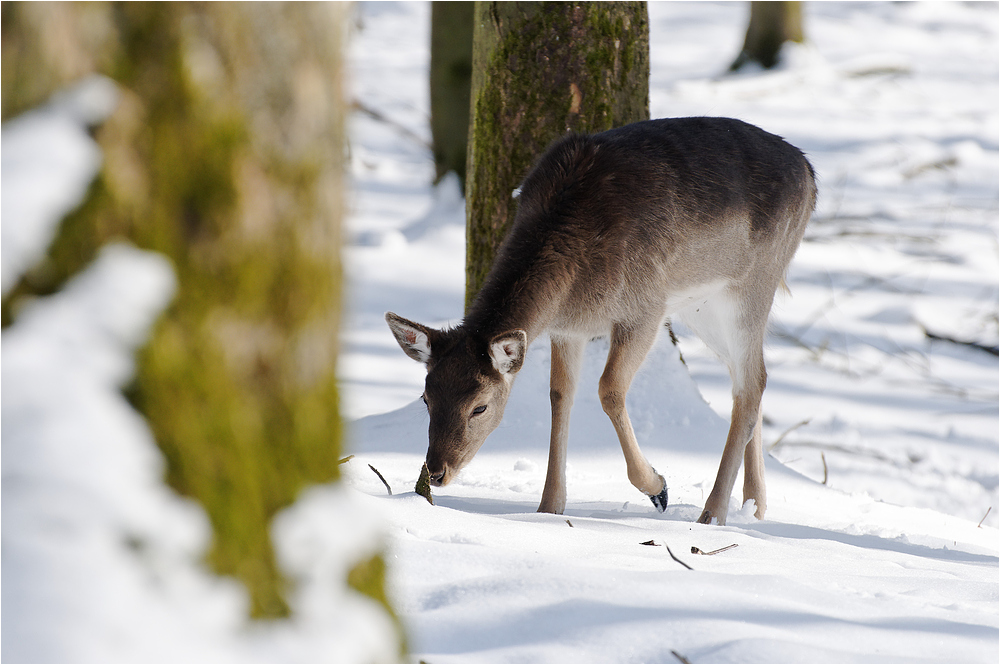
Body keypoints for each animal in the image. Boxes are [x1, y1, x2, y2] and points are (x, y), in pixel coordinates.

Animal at [386, 118, 816, 524]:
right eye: (427, 398)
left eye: (479, 407)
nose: (436, 472)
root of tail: (810, 174)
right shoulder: (567, 329)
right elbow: (560, 395)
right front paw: (548, 507)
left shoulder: (645, 306)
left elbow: (608, 389)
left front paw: (658, 488)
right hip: (702, 305)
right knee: (750, 378)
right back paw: (754, 505)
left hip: (754, 282)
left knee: (751, 382)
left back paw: (713, 513)